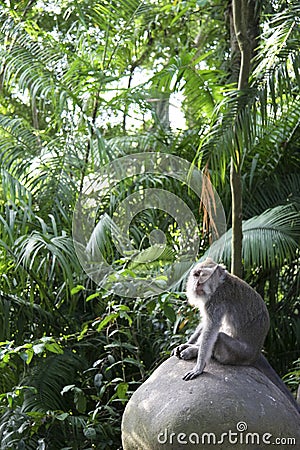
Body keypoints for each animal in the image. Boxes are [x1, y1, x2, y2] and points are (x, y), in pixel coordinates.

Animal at [172, 258, 298, 414]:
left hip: (239, 353)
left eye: (202, 275)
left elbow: (211, 328)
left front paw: (199, 367)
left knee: (219, 337)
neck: (219, 284)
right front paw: (187, 343)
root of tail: (256, 354)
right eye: (196, 275)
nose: (197, 284)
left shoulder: (217, 299)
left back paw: (193, 351)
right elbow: (205, 324)